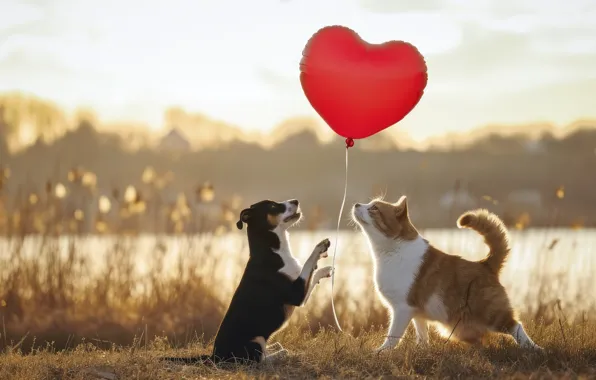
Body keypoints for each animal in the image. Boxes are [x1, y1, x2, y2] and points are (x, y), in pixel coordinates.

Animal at [163, 200, 330, 364]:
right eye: (273, 206)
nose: (296, 201)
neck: (272, 252)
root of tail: (215, 356)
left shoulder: (302, 293)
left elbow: (312, 274)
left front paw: (326, 269)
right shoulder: (297, 295)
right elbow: (308, 264)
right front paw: (320, 247)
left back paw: (276, 348)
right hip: (255, 341)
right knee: (259, 360)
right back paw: (281, 353)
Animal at [352, 197, 544, 352]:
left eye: (374, 208)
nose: (356, 204)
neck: (393, 251)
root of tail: (485, 264)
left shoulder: (402, 308)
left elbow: (393, 336)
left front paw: (381, 352)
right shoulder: (416, 311)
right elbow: (422, 334)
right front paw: (422, 350)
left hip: (491, 313)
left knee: (516, 326)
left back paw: (534, 348)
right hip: (463, 328)